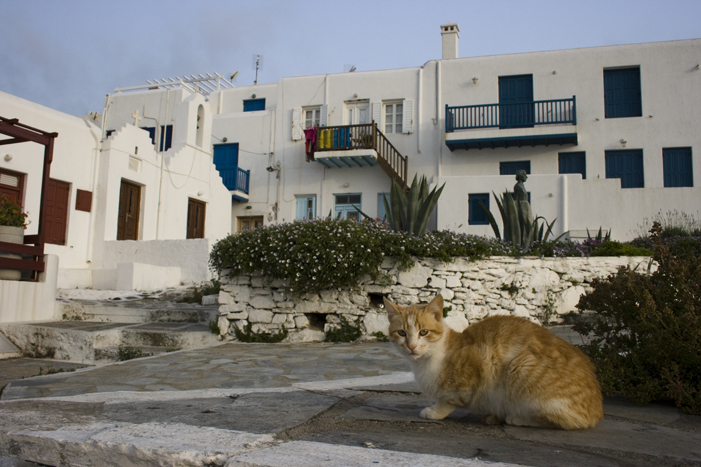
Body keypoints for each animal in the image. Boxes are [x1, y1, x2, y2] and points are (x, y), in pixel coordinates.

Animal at [382, 296, 600, 432]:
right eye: (402, 333)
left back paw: (516, 418)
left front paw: (434, 411)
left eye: (424, 332)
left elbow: (449, 400)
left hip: (520, 367)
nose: (411, 346)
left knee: (569, 422)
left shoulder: (476, 369)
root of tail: (596, 410)